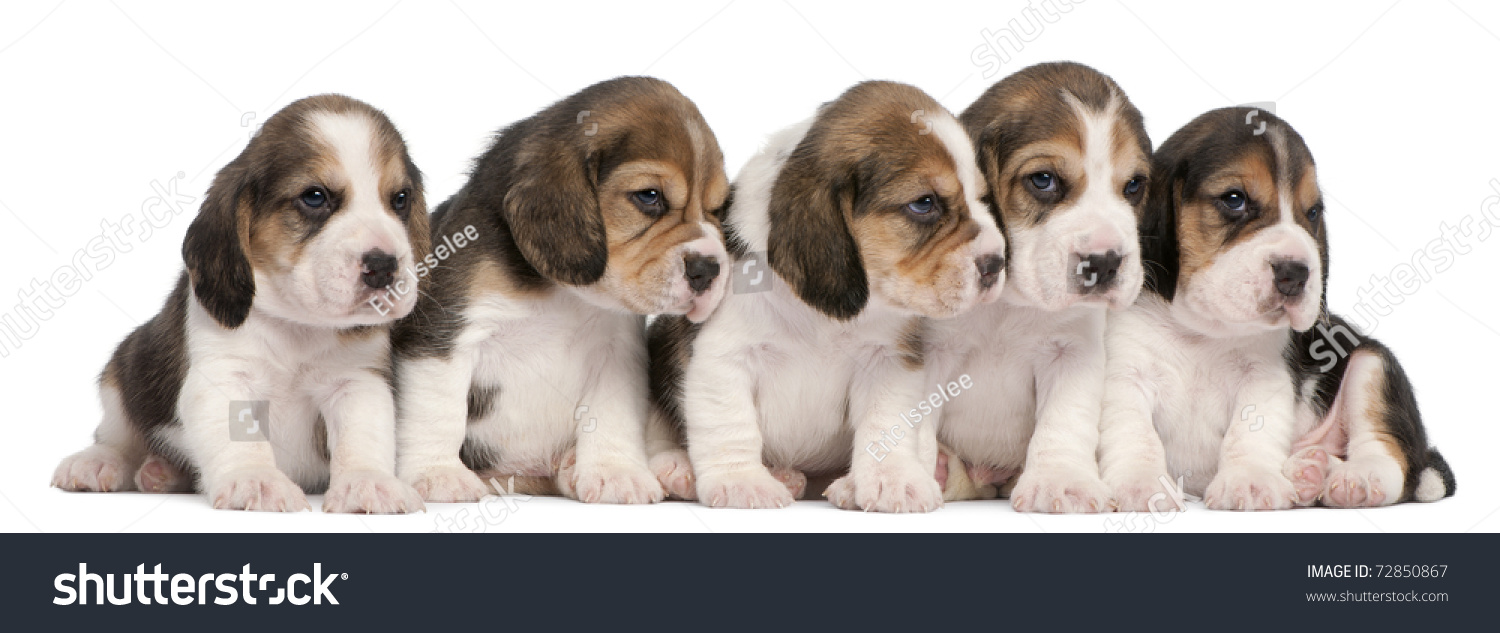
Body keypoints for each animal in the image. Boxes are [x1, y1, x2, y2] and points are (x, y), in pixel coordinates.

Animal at [51, 94, 429, 513]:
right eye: (314, 197)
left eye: (400, 199)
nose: (383, 266)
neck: (298, 324)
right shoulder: (223, 375)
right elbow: (241, 437)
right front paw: (257, 479)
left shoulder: (357, 382)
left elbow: (363, 436)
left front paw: (368, 482)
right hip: (125, 370)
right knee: (119, 436)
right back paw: (101, 462)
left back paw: (163, 473)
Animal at [648, 81, 1008, 513]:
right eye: (924, 203)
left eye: (983, 198)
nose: (997, 263)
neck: (821, 318)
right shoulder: (722, 358)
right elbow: (730, 425)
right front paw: (742, 482)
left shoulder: (889, 360)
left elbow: (885, 425)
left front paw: (893, 480)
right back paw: (680, 468)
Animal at [924, 61, 1146, 513]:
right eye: (1043, 180)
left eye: (1134, 186)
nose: (1104, 262)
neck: (1011, 304)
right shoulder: (933, 348)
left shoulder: (1072, 352)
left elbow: (1065, 418)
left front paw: (1061, 481)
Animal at [1098, 108, 1458, 513]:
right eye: (1234, 199)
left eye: (1312, 212)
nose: (1296, 272)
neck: (1201, 330)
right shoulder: (1125, 374)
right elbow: (1134, 433)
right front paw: (1139, 482)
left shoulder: (1264, 378)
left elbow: (1250, 432)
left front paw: (1250, 480)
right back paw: (1310, 472)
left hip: (1373, 364)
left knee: (1393, 461)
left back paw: (1353, 478)